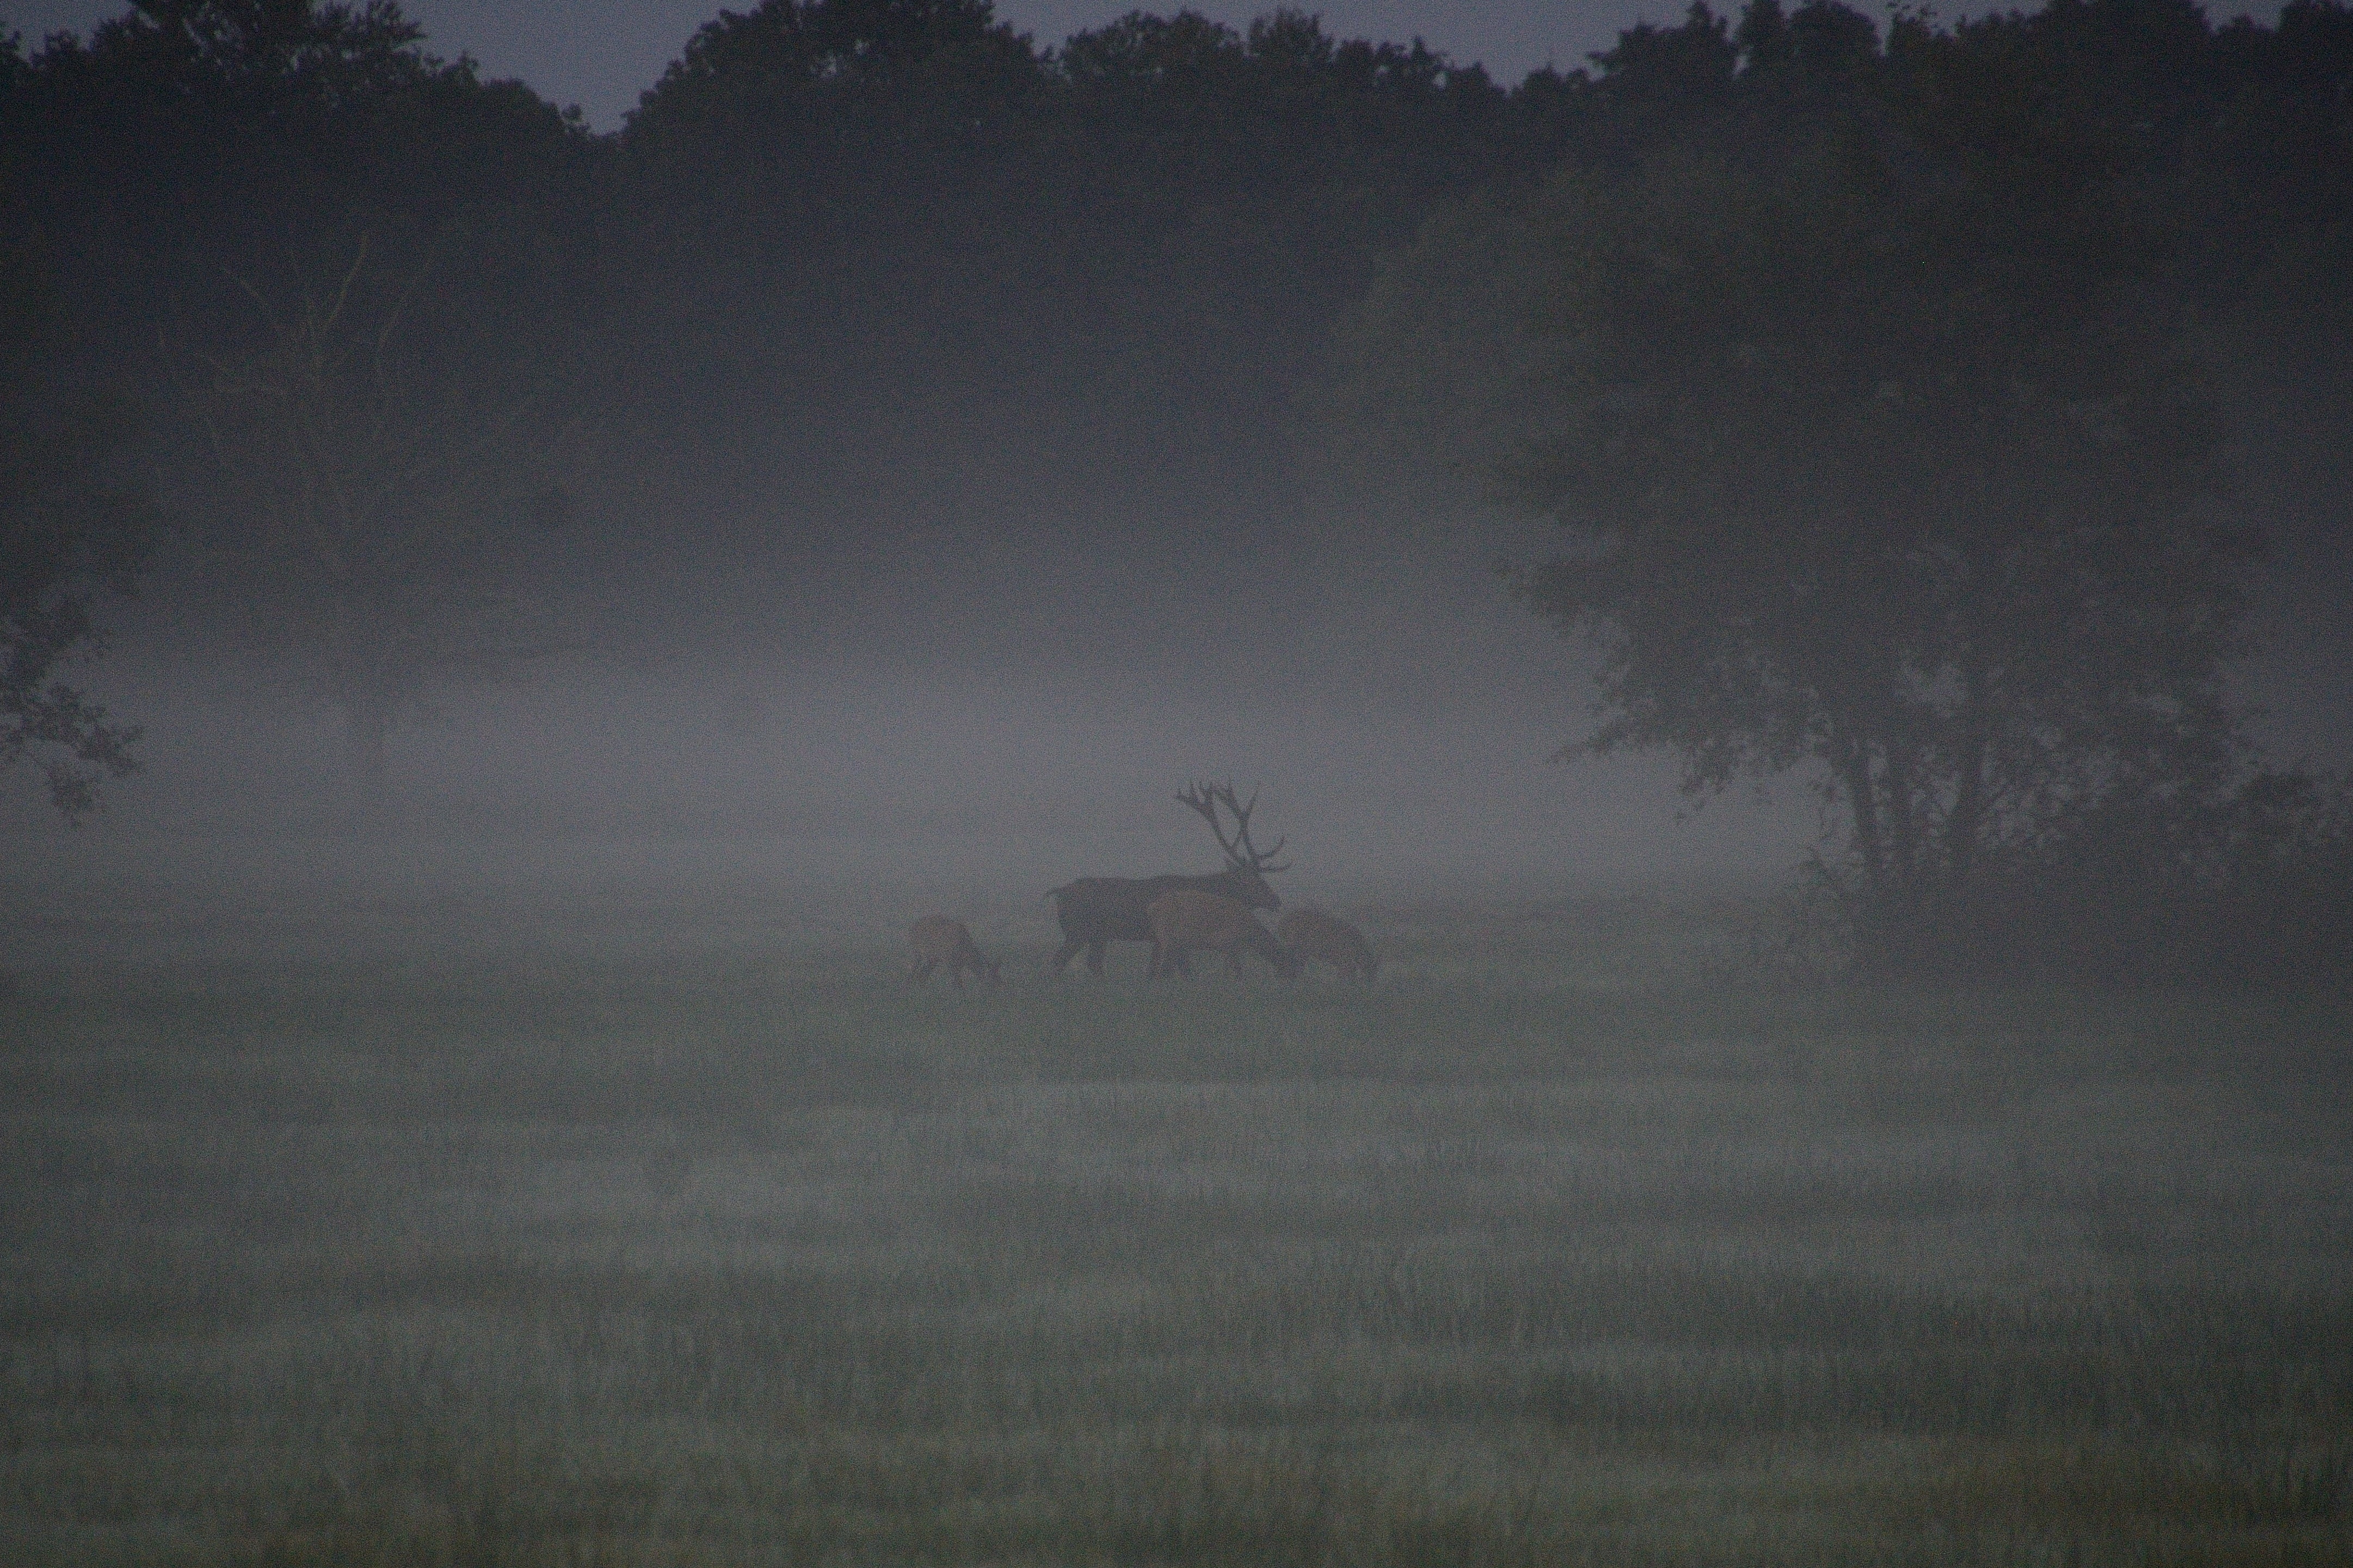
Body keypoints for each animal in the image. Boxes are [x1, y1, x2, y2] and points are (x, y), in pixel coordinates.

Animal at [907, 915, 1002, 990]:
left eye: (999, 978)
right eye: (992, 979)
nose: (997, 990)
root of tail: (912, 929)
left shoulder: (958, 964)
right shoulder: (951, 962)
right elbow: (958, 983)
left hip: (933, 958)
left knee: (922, 974)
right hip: (918, 953)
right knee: (914, 970)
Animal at [1046, 781, 1291, 977]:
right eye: (1254, 882)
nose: (1276, 901)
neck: (1209, 891)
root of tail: (1059, 891)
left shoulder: (1161, 941)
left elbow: (1156, 972)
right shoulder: (1174, 939)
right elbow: (1172, 972)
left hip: (1097, 936)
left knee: (1090, 965)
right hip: (1078, 931)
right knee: (1058, 962)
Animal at [1146, 888, 1302, 980]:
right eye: (1290, 961)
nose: (1294, 977)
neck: (1250, 934)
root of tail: (1153, 907)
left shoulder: (1228, 948)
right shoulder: (1228, 943)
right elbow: (1238, 971)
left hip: (1171, 941)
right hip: (1168, 937)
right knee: (1163, 965)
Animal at [1277, 908, 1380, 981]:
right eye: (1374, 970)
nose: (1374, 981)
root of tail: (1283, 921)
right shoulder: (1344, 959)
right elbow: (1346, 973)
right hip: (1298, 947)